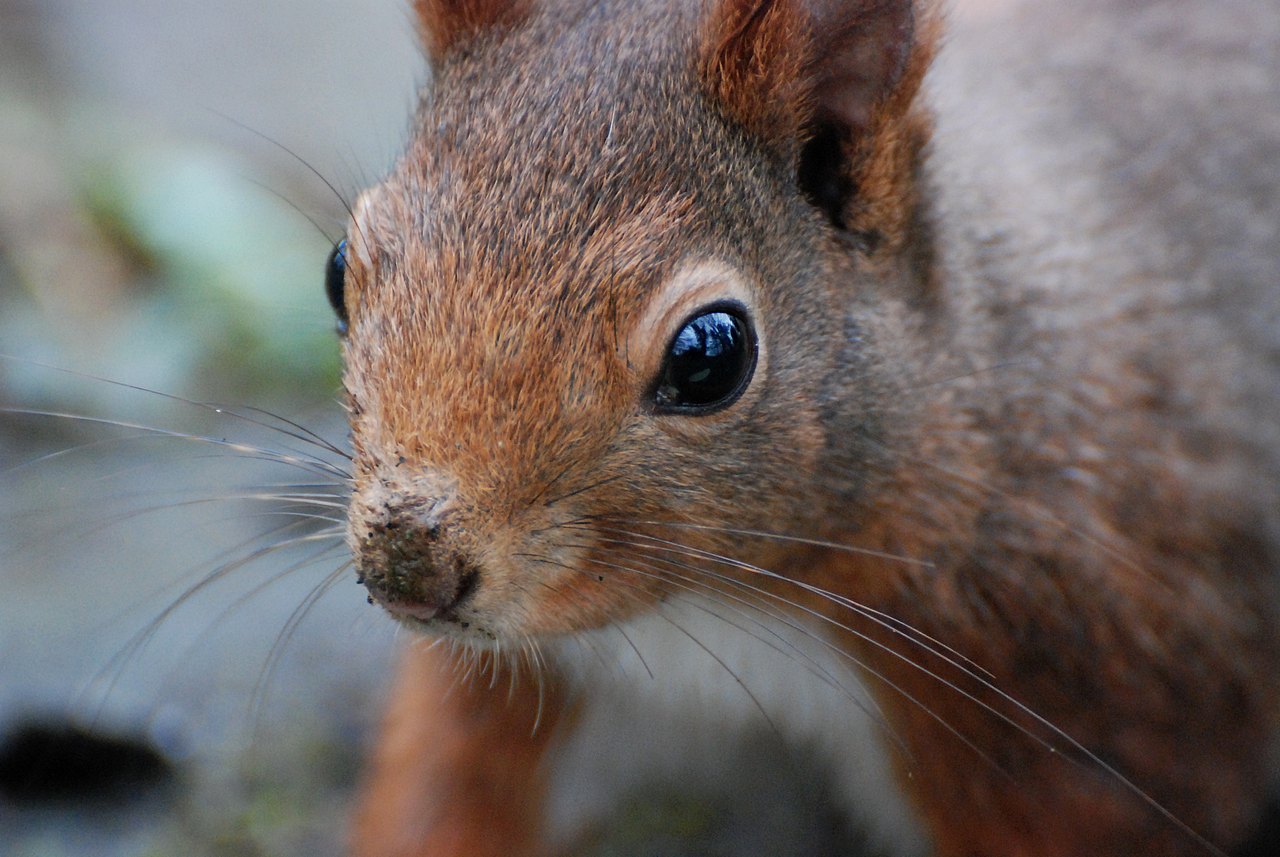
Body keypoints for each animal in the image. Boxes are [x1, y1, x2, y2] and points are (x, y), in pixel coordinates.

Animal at [327, 1, 1280, 857]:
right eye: (339, 270)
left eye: (710, 355)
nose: (407, 568)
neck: (726, 602)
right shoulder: (538, 681)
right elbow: (449, 792)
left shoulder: (1085, 706)